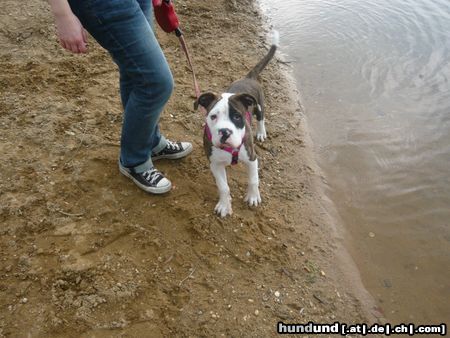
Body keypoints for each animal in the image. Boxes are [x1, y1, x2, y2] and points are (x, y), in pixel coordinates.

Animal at [195, 31, 280, 217]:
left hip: (259, 105)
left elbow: (253, 180)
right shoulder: (215, 164)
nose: (225, 132)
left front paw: (253, 197)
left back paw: (261, 132)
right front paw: (224, 205)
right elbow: (223, 187)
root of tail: (248, 77)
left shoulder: (252, 158)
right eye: (213, 116)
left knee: (261, 118)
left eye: (237, 117)